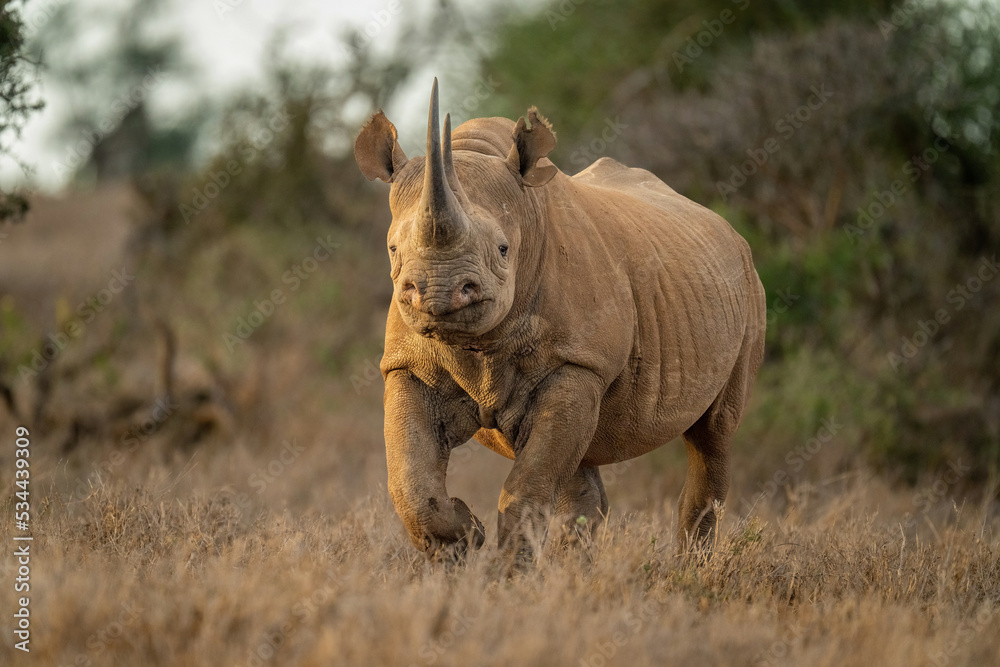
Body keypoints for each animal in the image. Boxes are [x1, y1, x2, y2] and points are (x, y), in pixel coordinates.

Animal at [354, 79, 765, 561]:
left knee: (713, 434)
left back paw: (689, 567)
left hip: (747, 290)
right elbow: (411, 483)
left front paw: (506, 571)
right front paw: (463, 539)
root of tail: (727, 231)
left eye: (503, 249)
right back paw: (574, 569)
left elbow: (528, 487)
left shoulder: (577, 362)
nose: (438, 292)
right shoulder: (408, 364)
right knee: (580, 467)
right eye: (393, 250)